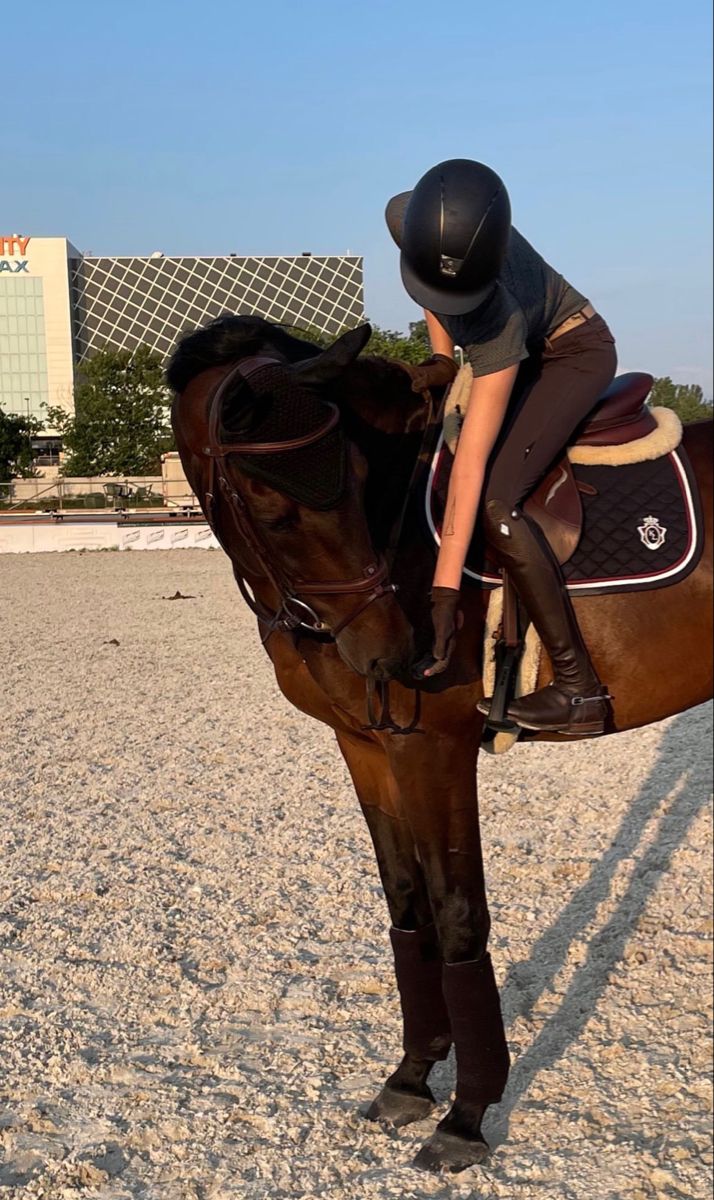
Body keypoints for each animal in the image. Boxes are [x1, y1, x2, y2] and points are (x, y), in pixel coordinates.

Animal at [169, 316, 714, 1171]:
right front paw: (411, 1077)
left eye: (358, 478)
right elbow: (406, 904)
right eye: (271, 504)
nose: (394, 649)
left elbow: (458, 914)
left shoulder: (434, 746)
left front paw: (467, 1112)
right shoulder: (364, 743)